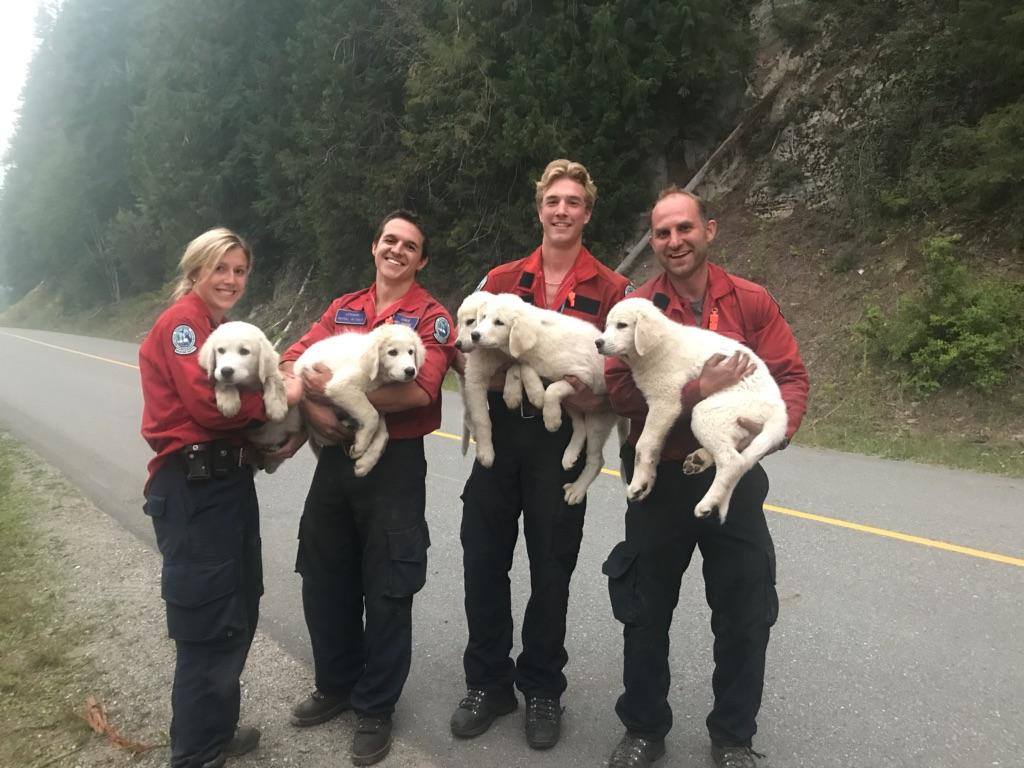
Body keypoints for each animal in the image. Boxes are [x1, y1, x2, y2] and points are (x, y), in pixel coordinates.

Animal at [196, 319, 299, 475]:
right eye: (220, 350)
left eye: (244, 351)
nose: (226, 371)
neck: (248, 384)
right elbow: (223, 383)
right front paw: (229, 403)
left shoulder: (272, 374)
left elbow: (273, 379)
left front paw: (277, 409)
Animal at [292, 321, 423, 479]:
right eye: (392, 352)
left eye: (411, 352)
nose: (410, 371)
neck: (375, 373)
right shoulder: (341, 387)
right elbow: (371, 415)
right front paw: (360, 446)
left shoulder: (378, 404)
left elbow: (383, 434)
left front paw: (365, 464)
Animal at [468, 292, 614, 505]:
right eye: (483, 317)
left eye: (499, 322)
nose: (474, 335)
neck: (541, 338)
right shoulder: (536, 366)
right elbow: (524, 367)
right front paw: (534, 394)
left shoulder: (581, 378)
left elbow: (552, 389)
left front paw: (549, 418)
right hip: (574, 406)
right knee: (580, 427)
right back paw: (570, 455)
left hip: (598, 416)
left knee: (596, 459)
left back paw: (577, 490)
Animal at [593, 296, 782, 528]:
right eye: (607, 325)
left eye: (622, 325)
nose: (598, 343)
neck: (658, 348)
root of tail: (780, 411)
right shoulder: (662, 410)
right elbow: (654, 447)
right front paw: (647, 482)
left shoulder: (665, 402)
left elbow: (643, 445)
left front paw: (638, 484)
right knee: (736, 455)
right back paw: (700, 460)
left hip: (707, 412)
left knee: (733, 461)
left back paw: (707, 504)